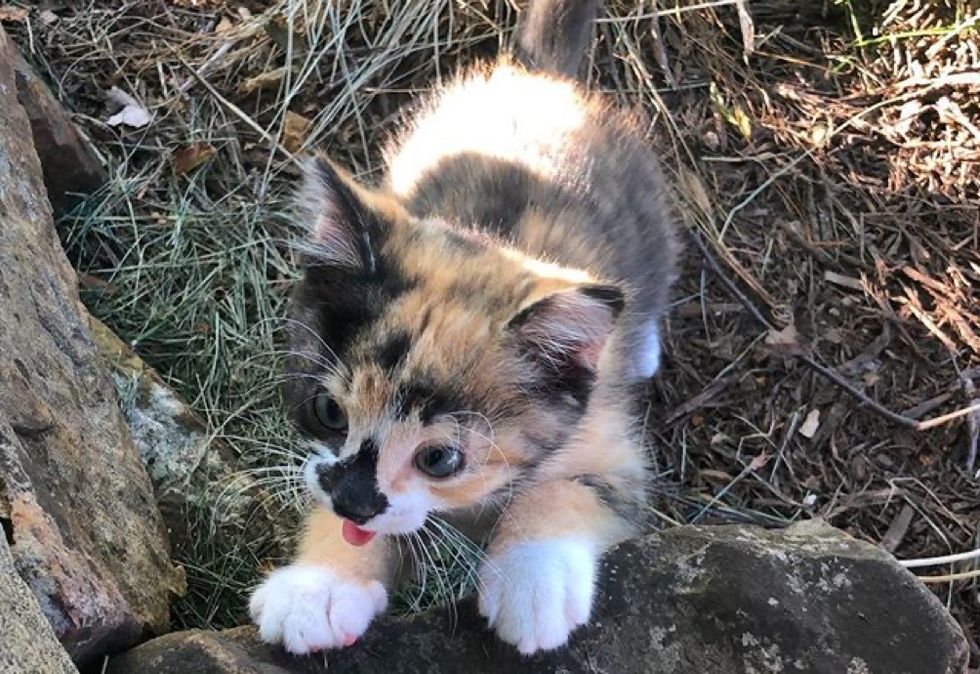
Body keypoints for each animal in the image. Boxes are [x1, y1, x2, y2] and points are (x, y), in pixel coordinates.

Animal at [249, 0, 676, 652]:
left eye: (440, 459)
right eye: (327, 412)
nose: (353, 499)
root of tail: (539, 78)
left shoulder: (610, 443)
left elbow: (569, 487)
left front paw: (533, 580)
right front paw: (320, 586)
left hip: (650, 219)